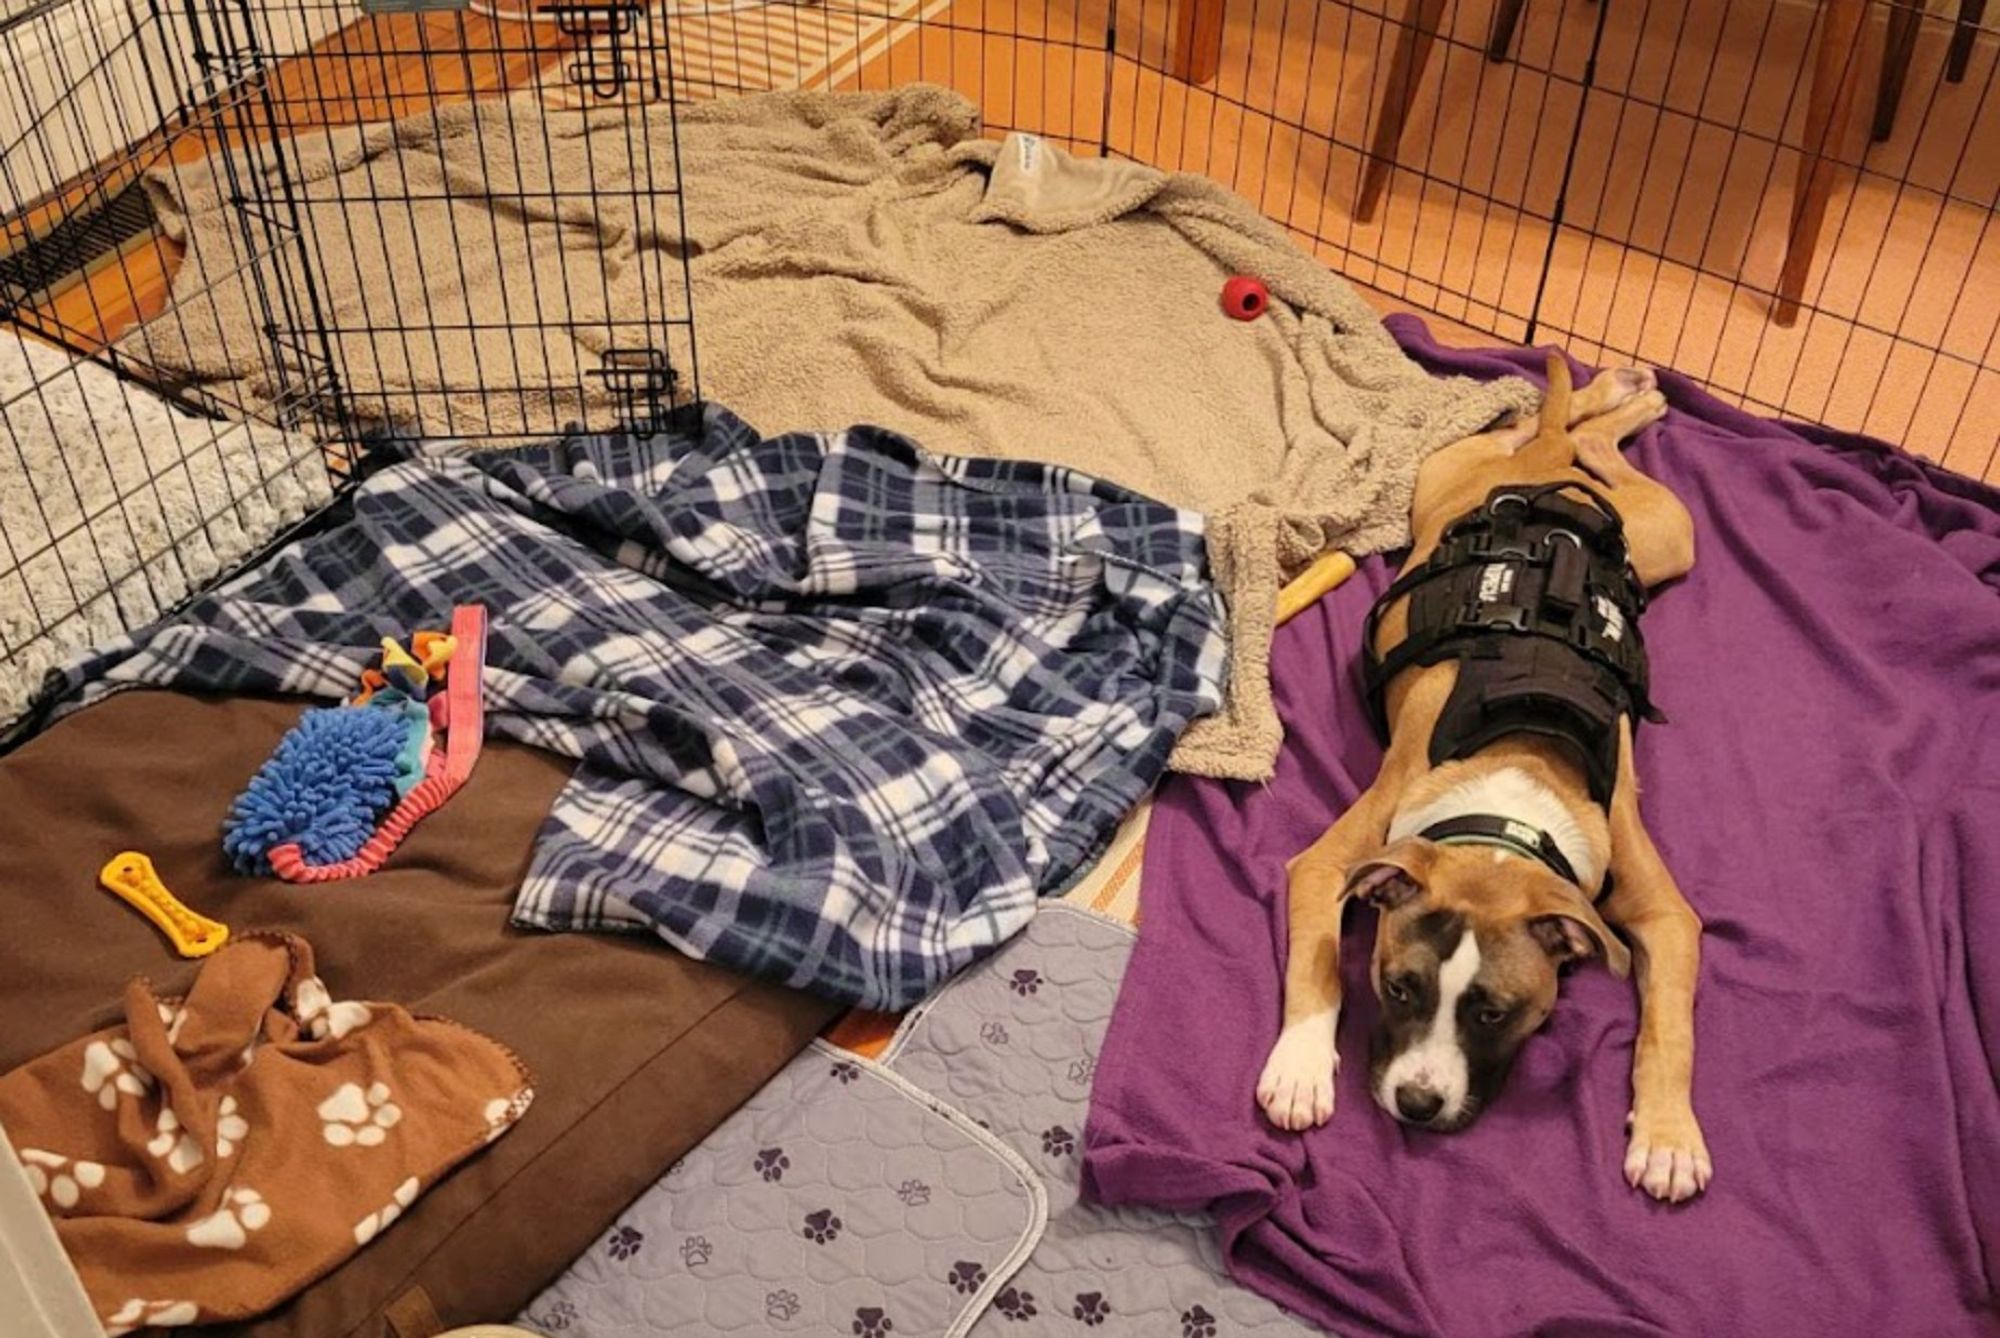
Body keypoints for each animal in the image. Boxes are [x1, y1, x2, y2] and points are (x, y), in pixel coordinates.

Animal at [1248, 354, 1704, 1200]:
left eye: (1496, 1013)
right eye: (1398, 987)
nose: (1417, 1105)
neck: (1512, 781)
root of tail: (1549, 482)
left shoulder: (1664, 913)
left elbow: (1671, 1025)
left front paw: (1668, 1138)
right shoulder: (1332, 861)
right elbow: (1318, 962)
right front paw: (1298, 1069)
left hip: (1667, 538)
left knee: (1576, 435)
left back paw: (1624, 402)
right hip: (1457, 482)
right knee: (1537, 426)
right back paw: (1614, 400)